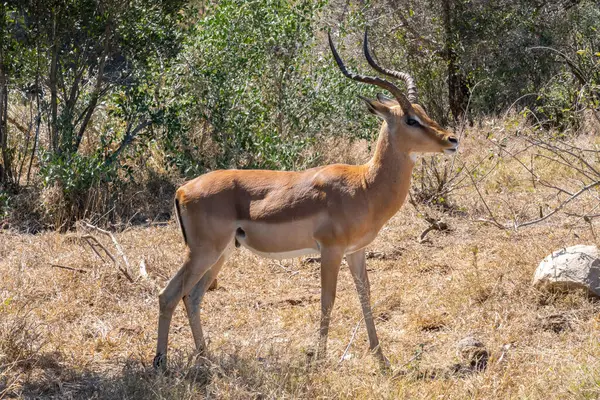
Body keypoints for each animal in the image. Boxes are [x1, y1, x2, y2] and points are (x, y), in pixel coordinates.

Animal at [152, 30, 458, 368]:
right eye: (410, 120)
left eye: (424, 112)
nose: (451, 139)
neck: (364, 184)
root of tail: (182, 189)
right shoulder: (330, 250)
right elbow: (328, 299)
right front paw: (319, 360)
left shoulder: (356, 251)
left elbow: (365, 296)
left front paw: (382, 359)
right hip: (203, 252)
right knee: (168, 295)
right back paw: (161, 362)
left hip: (221, 253)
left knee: (192, 297)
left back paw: (206, 357)